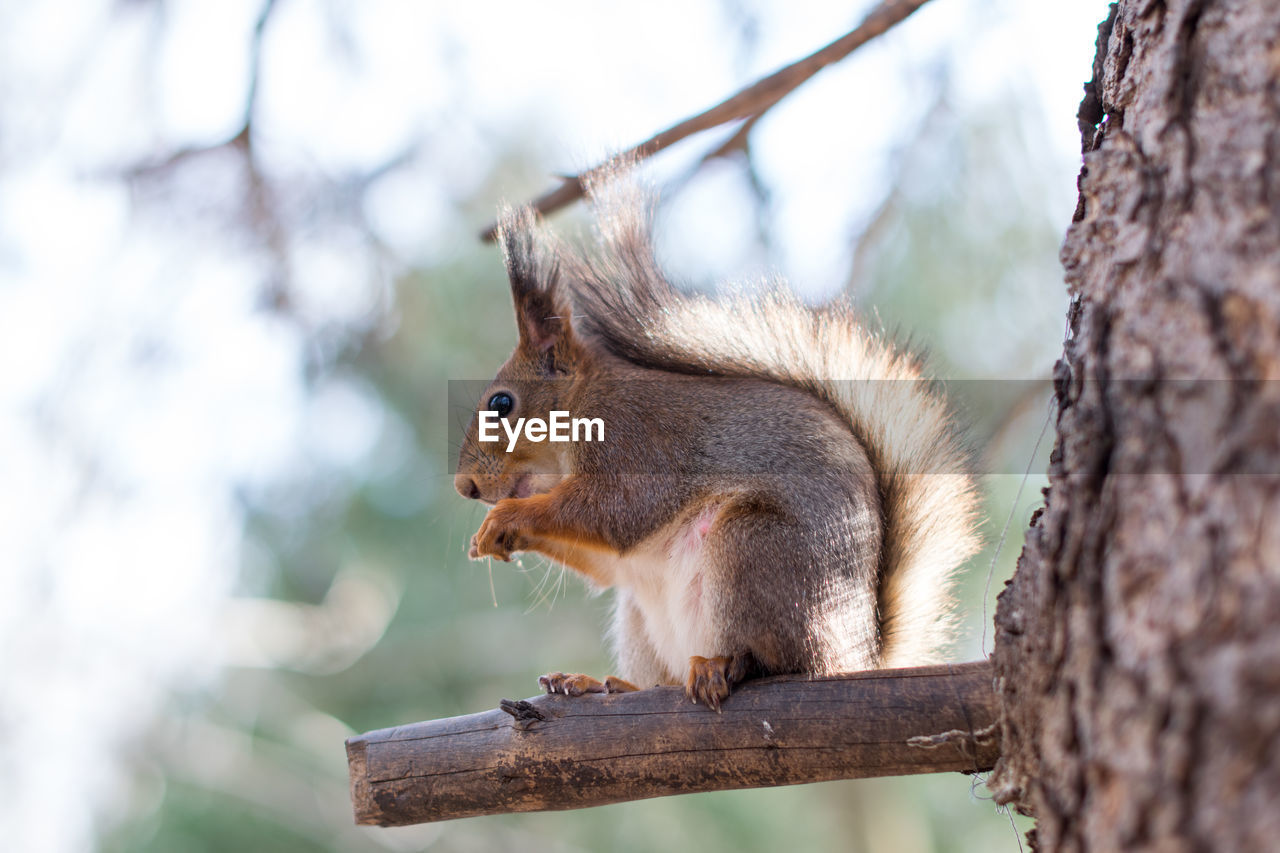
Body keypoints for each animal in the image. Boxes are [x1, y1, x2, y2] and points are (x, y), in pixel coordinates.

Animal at [453, 178, 977, 701]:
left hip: (751, 549)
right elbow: (604, 561)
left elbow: (619, 510)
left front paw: (506, 518)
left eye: (501, 403)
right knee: (656, 673)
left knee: (782, 658)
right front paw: (487, 539)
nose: (465, 487)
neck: (582, 403)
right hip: (642, 615)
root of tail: (855, 653)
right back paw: (602, 684)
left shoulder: (638, 436)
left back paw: (725, 665)